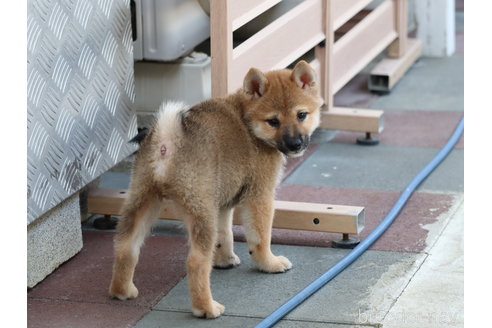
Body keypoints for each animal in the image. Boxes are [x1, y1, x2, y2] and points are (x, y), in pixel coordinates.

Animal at [108, 60, 322, 318]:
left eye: (301, 115)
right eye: (273, 121)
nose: (295, 144)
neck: (248, 122)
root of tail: (167, 143)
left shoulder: (223, 203)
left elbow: (225, 234)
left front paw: (225, 259)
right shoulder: (259, 195)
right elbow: (260, 237)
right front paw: (268, 263)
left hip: (142, 201)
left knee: (125, 247)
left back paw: (122, 290)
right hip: (201, 213)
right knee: (196, 263)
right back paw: (206, 308)